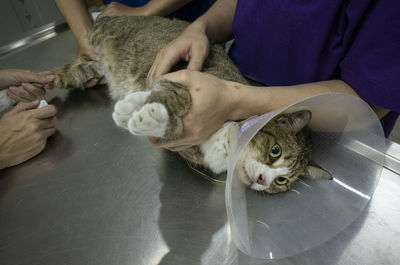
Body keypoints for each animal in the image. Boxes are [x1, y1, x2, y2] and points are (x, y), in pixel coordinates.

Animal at [47, 15, 332, 193]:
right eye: (275, 151)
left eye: (281, 180)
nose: (263, 180)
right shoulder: (185, 72)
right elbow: (174, 93)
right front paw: (139, 108)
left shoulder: (190, 147)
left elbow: (172, 127)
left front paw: (143, 114)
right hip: (103, 31)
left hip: (84, 71)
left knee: (74, 72)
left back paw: (46, 81)